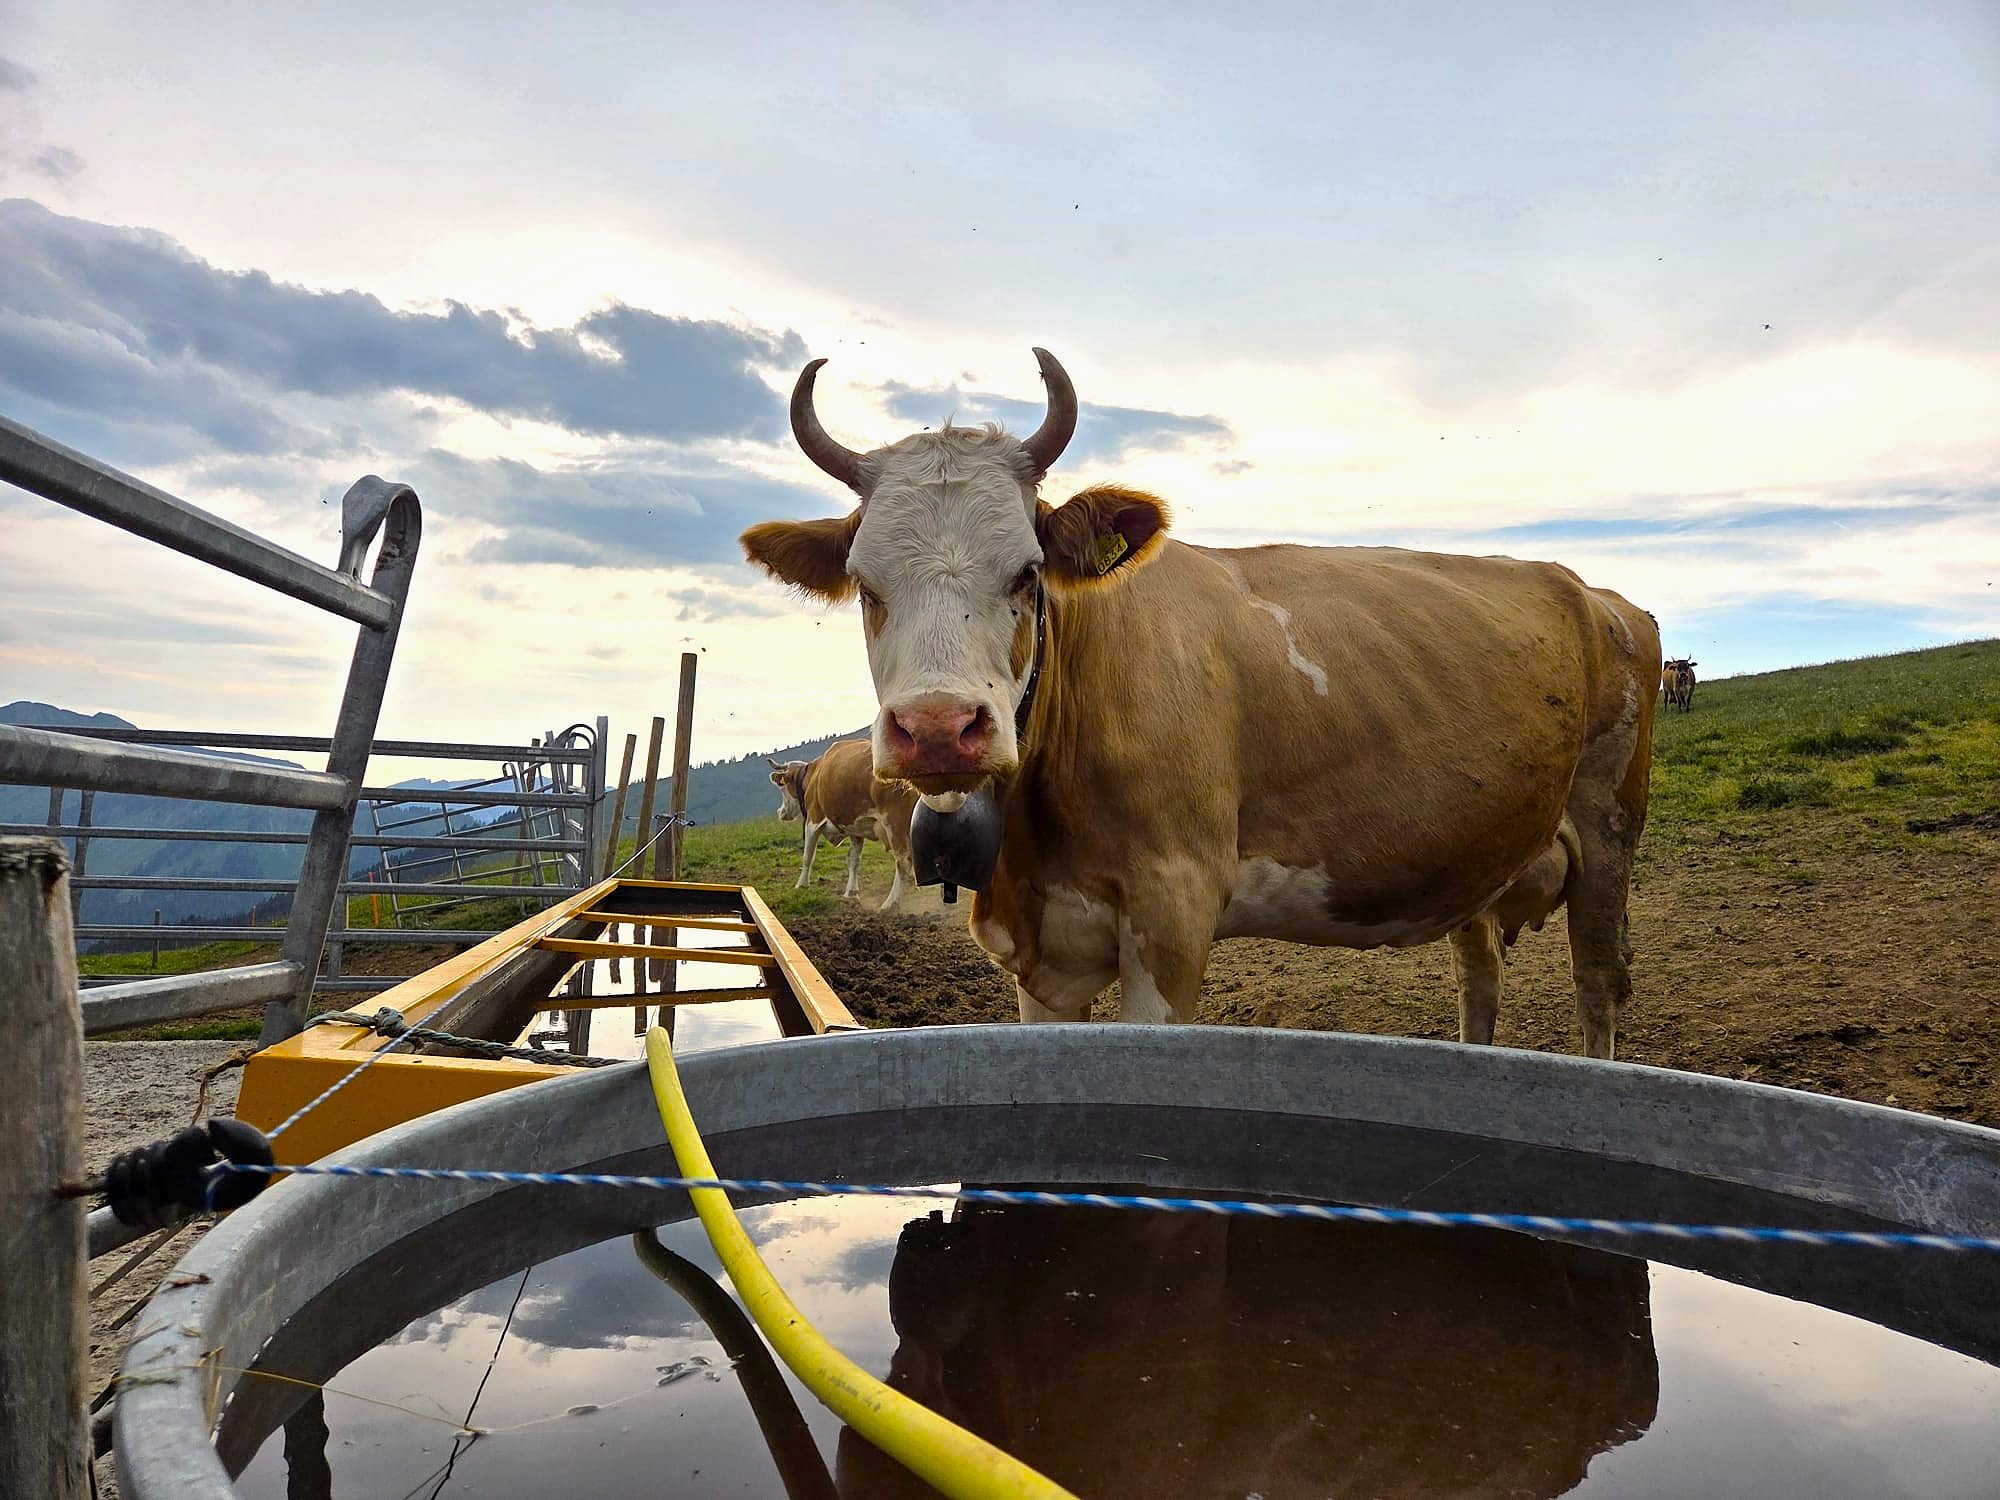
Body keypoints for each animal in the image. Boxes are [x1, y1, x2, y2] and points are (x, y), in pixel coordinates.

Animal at [769, 738, 919, 911]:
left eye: (782, 787)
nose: (780, 812)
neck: (814, 775)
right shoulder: (856, 830)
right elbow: (854, 860)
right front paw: (851, 892)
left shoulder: (813, 820)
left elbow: (808, 856)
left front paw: (801, 885)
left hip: (895, 823)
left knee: (903, 861)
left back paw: (890, 903)